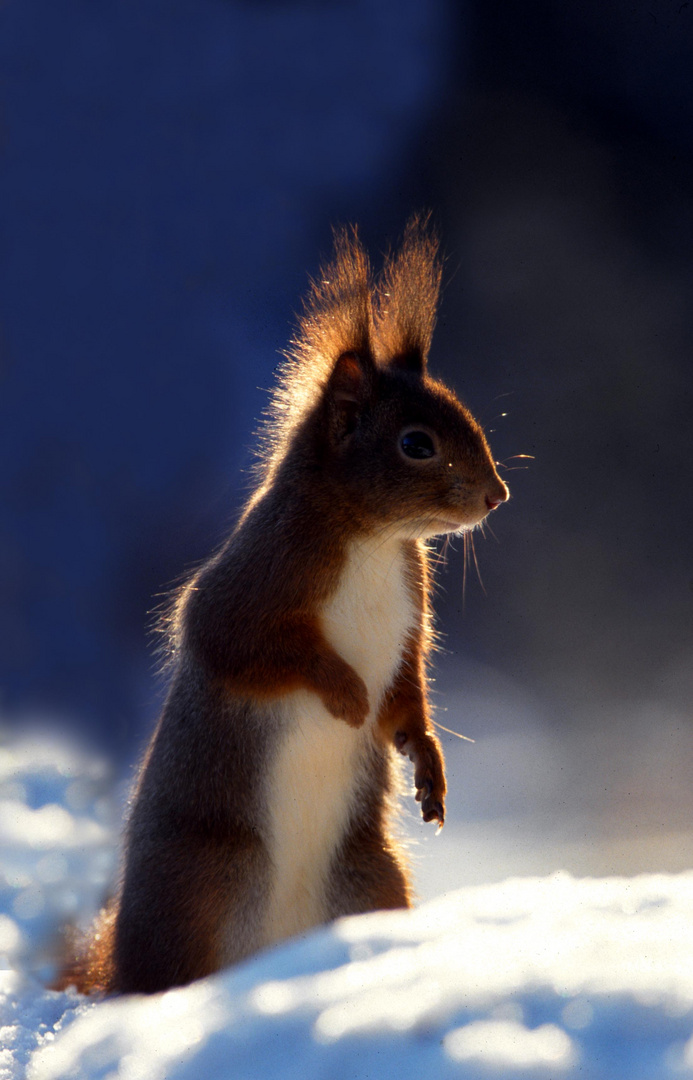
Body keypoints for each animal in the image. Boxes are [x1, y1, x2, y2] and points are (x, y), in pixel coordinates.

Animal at [59, 217, 505, 993]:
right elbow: (251, 648)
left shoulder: (411, 622)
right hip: (194, 889)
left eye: (467, 417)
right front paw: (347, 695)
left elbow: (408, 693)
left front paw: (426, 766)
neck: (371, 540)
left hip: (372, 881)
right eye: (416, 444)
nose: (496, 495)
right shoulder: (249, 590)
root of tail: (271, 954)